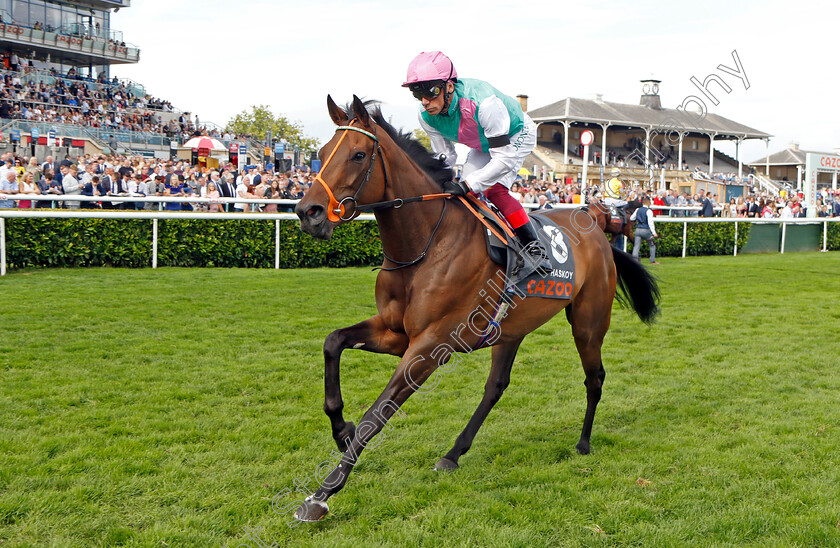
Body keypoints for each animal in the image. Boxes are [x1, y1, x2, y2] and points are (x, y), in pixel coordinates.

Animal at [292, 95, 660, 524]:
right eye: (319, 154)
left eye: (357, 154)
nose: (308, 212)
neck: (427, 245)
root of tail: (595, 223)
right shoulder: (395, 332)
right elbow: (333, 342)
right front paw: (340, 428)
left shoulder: (429, 347)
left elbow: (376, 415)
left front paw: (321, 494)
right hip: (509, 328)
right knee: (495, 387)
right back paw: (453, 454)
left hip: (588, 322)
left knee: (594, 378)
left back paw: (583, 443)